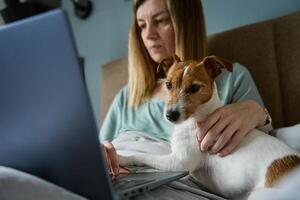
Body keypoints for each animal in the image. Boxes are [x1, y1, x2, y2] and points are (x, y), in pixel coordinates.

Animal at [118, 54, 300, 198]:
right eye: (168, 85)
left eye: (194, 88)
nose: (170, 115)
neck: (198, 116)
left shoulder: (178, 162)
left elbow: (143, 156)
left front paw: (122, 158)